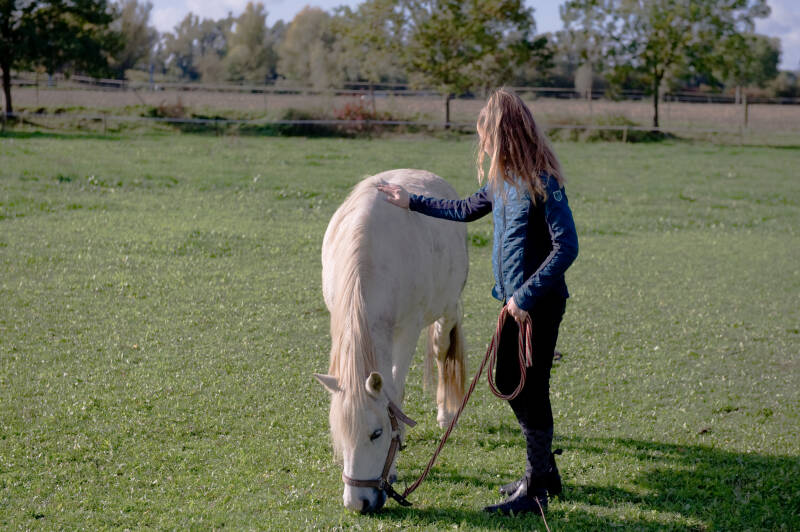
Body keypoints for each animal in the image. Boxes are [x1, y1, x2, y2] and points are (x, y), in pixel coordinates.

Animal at [313, 169, 469, 513]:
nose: (358, 503)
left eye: (376, 433)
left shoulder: (408, 329)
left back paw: (445, 414)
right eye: (340, 434)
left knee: (442, 348)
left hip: (448, 308)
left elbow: (395, 395)